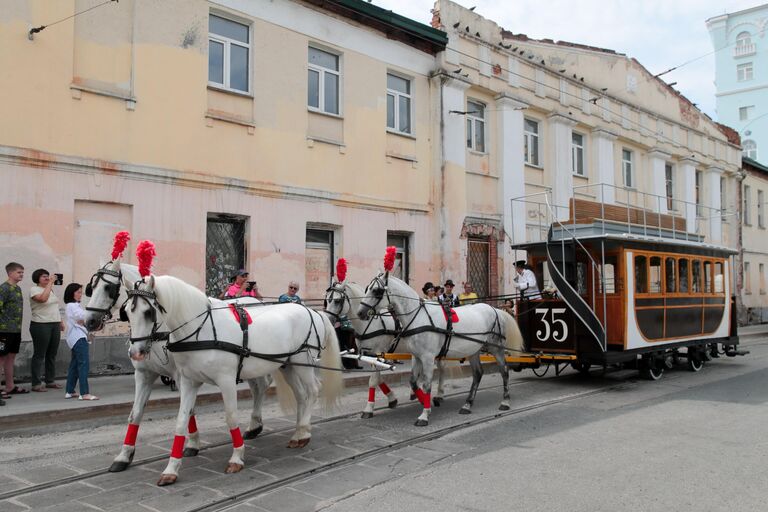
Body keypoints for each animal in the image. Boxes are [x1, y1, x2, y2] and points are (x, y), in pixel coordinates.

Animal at [83, 262, 270, 474]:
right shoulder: (144, 374)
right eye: (91, 286)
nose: (89, 320)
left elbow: (189, 411)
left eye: (108, 287)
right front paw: (124, 455)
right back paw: (254, 425)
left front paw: (192, 444)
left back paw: (255, 424)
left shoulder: (180, 375)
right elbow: (135, 413)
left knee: (261, 386)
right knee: (258, 388)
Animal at [124, 274, 342, 486]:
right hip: (287, 365)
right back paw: (298, 432)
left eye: (148, 312)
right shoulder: (187, 382)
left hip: (303, 361)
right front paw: (171, 469)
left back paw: (303, 432)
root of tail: (313, 312)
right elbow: (181, 421)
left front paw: (237, 457)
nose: (135, 352)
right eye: (126, 312)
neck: (200, 329)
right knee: (301, 395)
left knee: (313, 390)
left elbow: (231, 417)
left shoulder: (226, 381)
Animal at [326, 282, 448, 418]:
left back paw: (439, 394)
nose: (328, 320)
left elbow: (373, 380)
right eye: (326, 300)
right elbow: (379, 379)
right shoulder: (370, 355)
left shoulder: (378, 353)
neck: (370, 323)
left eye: (337, 301)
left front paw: (369, 408)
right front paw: (392, 398)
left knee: (442, 368)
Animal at [356, 274, 524, 426]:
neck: (419, 316)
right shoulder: (417, 357)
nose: (360, 313)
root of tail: (495, 309)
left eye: (377, 291)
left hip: (496, 349)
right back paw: (467, 404)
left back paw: (505, 402)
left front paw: (424, 415)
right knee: (477, 374)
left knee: (504, 371)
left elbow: (426, 384)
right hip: (473, 351)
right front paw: (426, 403)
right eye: (367, 288)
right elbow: (413, 382)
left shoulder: (428, 357)